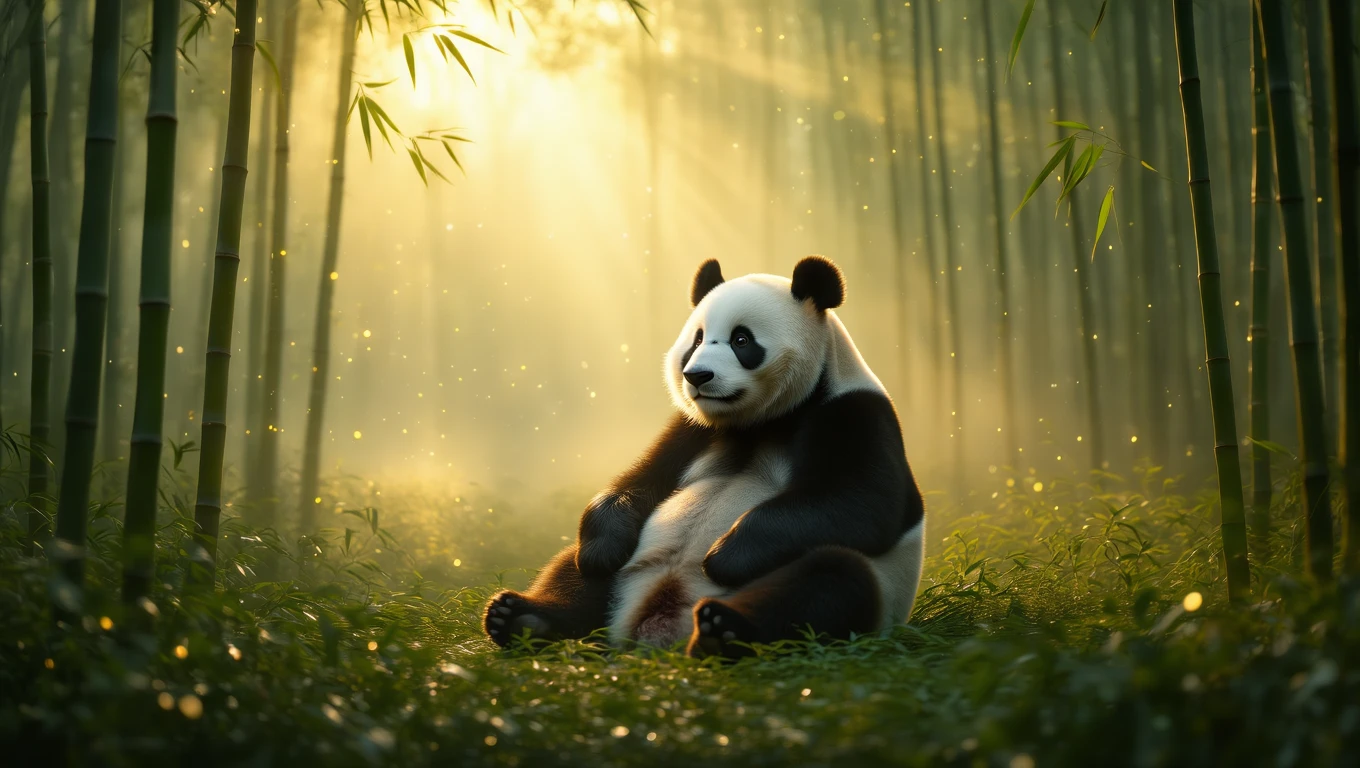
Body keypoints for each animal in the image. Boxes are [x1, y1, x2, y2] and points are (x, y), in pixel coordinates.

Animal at [484, 256, 925, 658]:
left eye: (742, 340)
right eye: (696, 341)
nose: (697, 376)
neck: (760, 422)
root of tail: (651, 638)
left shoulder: (852, 411)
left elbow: (862, 503)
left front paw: (724, 557)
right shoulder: (693, 429)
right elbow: (642, 480)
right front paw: (602, 550)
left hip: (873, 590)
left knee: (830, 581)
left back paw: (724, 632)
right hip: (617, 583)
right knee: (574, 571)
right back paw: (523, 617)